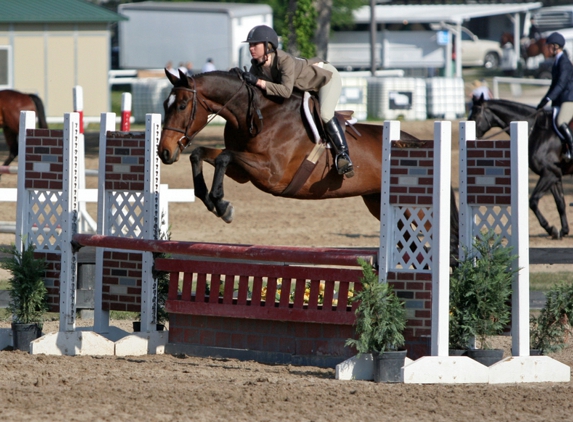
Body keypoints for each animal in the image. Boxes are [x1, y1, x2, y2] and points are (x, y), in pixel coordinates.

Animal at [156, 70, 460, 264]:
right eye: (165, 104)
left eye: (182, 105)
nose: (164, 152)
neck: (257, 114)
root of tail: (413, 141)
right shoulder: (243, 172)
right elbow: (201, 154)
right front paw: (212, 201)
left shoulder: (271, 173)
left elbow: (223, 157)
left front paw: (222, 205)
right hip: (379, 203)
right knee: (412, 245)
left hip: (417, 208)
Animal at [466, 97, 568, 239]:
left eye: (474, 116)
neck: (536, 130)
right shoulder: (554, 175)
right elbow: (560, 203)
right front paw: (563, 231)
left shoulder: (549, 174)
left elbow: (533, 201)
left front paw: (550, 228)